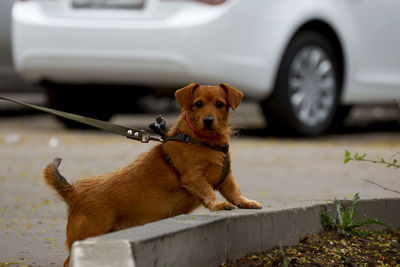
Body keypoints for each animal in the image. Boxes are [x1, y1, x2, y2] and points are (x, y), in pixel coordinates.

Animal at [43, 82, 262, 266]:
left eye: (219, 104)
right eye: (198, 104)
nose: (208, 120)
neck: (203, 142)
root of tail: (74, 192)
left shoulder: (227, 179)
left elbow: (235, 192)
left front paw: (245, 202)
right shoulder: (194, 178)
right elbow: (208, 192)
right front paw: (218, 205)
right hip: (87, 235)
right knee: (67, 262)